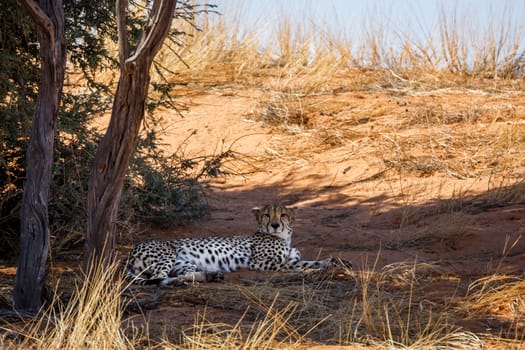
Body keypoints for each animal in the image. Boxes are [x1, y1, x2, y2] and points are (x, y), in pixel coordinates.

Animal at [125, 204, 350, 286]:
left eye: (283, 214)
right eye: (267, 215)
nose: (275, 225)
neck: (284, 237)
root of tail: (131, 252)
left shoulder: (294, 258)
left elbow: (313, 261)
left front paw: (338, 262)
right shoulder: (259, 263)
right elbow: (290, 267)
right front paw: (311, 272)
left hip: (183, 263)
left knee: (178, 275)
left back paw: (210, 275)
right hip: (167, 256)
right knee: (157, 278)